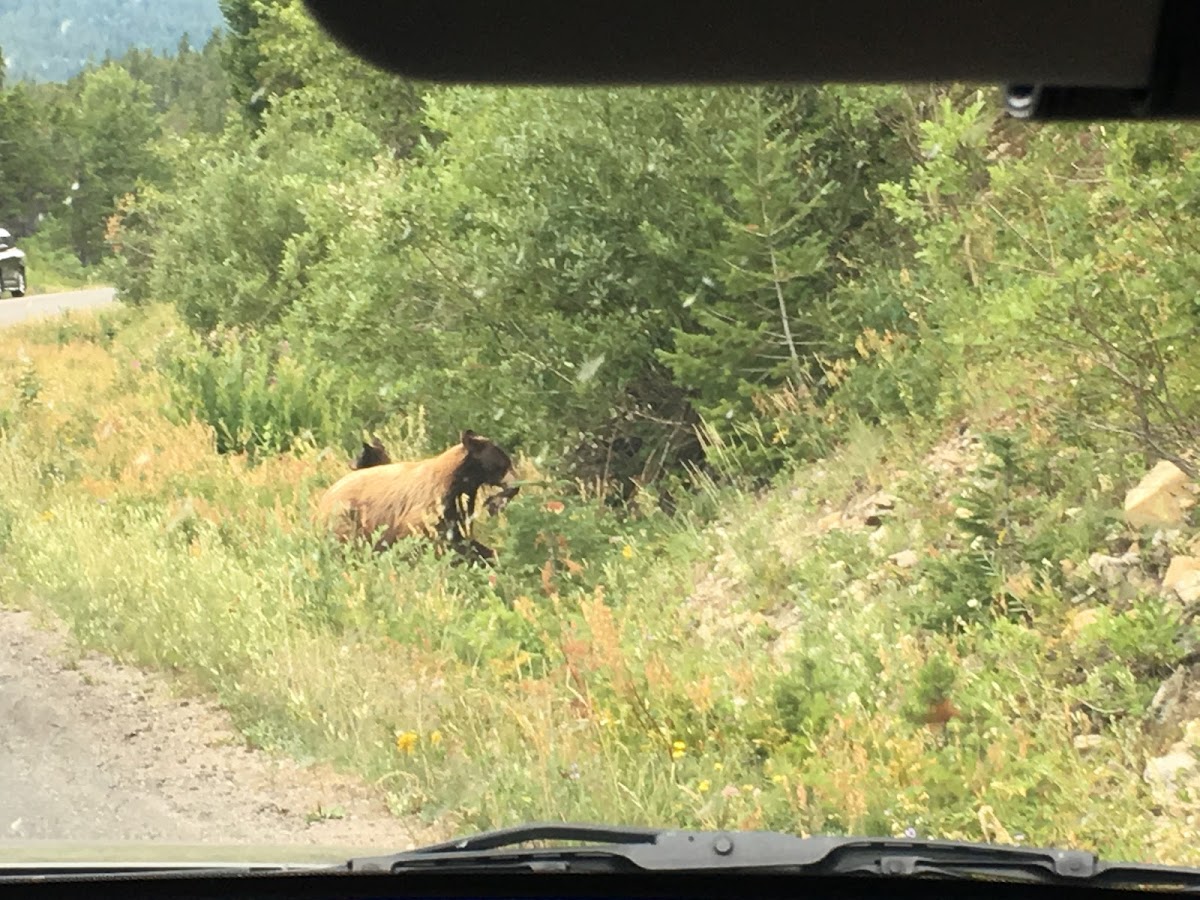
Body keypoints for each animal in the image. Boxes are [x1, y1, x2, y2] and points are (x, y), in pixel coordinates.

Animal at [316, 429, 518, 564]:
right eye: (503, 464)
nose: (515, 484)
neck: (457, 481)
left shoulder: (456, 511)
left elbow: (462, 538)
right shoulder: (429, 507)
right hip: (344, 521)